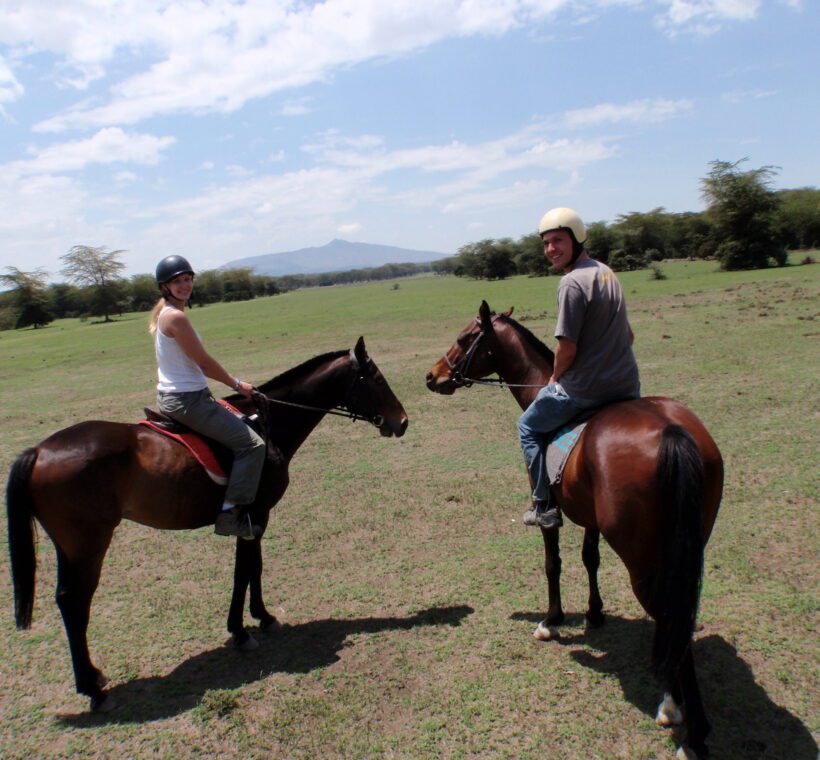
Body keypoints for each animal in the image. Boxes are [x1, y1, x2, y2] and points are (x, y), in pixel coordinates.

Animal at [4, 338, 406, 712]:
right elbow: (245, 570)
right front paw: (242, 631)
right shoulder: (256, 513)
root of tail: (39, 451)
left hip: (70, 547)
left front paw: (261, 618)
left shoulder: (254, 518)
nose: (402, 421)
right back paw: (93, 688)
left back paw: (92, 680)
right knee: (74, 602)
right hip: (88, 545)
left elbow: (253, 568)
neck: (268, 426)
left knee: (66, 600)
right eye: (376, 378)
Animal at [426, 302, 720, 760]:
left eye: (463, 338)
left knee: (670, 619)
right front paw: (595, 613)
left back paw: (686, 725)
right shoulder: (590, 517)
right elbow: (589, 559)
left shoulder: (552, 508)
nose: (432, 375)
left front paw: (551, 620)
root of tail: (672, 431)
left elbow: (554, 563)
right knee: (679, 619)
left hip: (644, 561)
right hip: (684, 550)